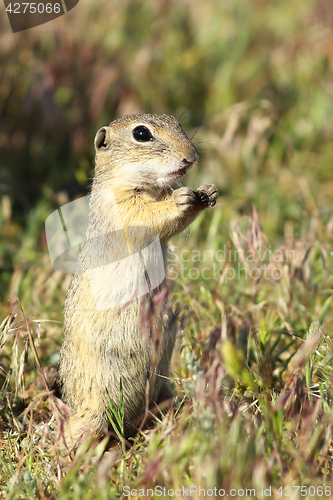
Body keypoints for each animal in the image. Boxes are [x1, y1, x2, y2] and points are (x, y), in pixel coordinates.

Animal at [59, 113, 218, 450]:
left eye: (176, 122)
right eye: (141, 134)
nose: (191, 155)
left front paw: (208, 191)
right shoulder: (124, 207)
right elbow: (151, 217)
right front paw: (182, 198)